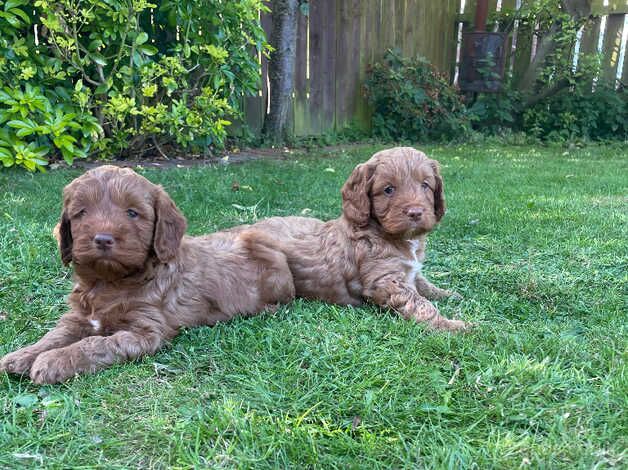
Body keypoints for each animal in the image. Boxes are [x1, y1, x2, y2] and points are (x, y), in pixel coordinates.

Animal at [0, 165, 294, 382]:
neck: (109, 282)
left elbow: (98, 343)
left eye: (132, 213)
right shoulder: (78, 318)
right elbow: (55, 335)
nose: (103, 239)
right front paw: (24, 355)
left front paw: (54, 361)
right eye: (81, 212)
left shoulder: (145, 331)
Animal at [242, 146, 472, 330]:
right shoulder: (385, 281)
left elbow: (424, 285)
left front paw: (448, 294)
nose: (415, 213)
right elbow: (419, 303)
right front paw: (452, 325)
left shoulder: (410, 272)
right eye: (388, 189)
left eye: (425, 185)